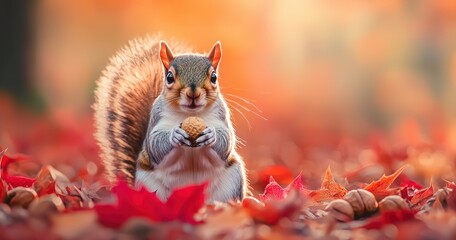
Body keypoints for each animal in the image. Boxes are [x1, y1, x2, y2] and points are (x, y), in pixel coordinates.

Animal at [93, 36, 248, 202]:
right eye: (169, 77)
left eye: (214, 77)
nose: (193, 94)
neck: (189, 114)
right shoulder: (156, 119)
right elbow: (154, 143)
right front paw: (175, 135)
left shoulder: (221, 116)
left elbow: (226, 140)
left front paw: (211, 135)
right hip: (148, 184)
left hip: (231, 181)